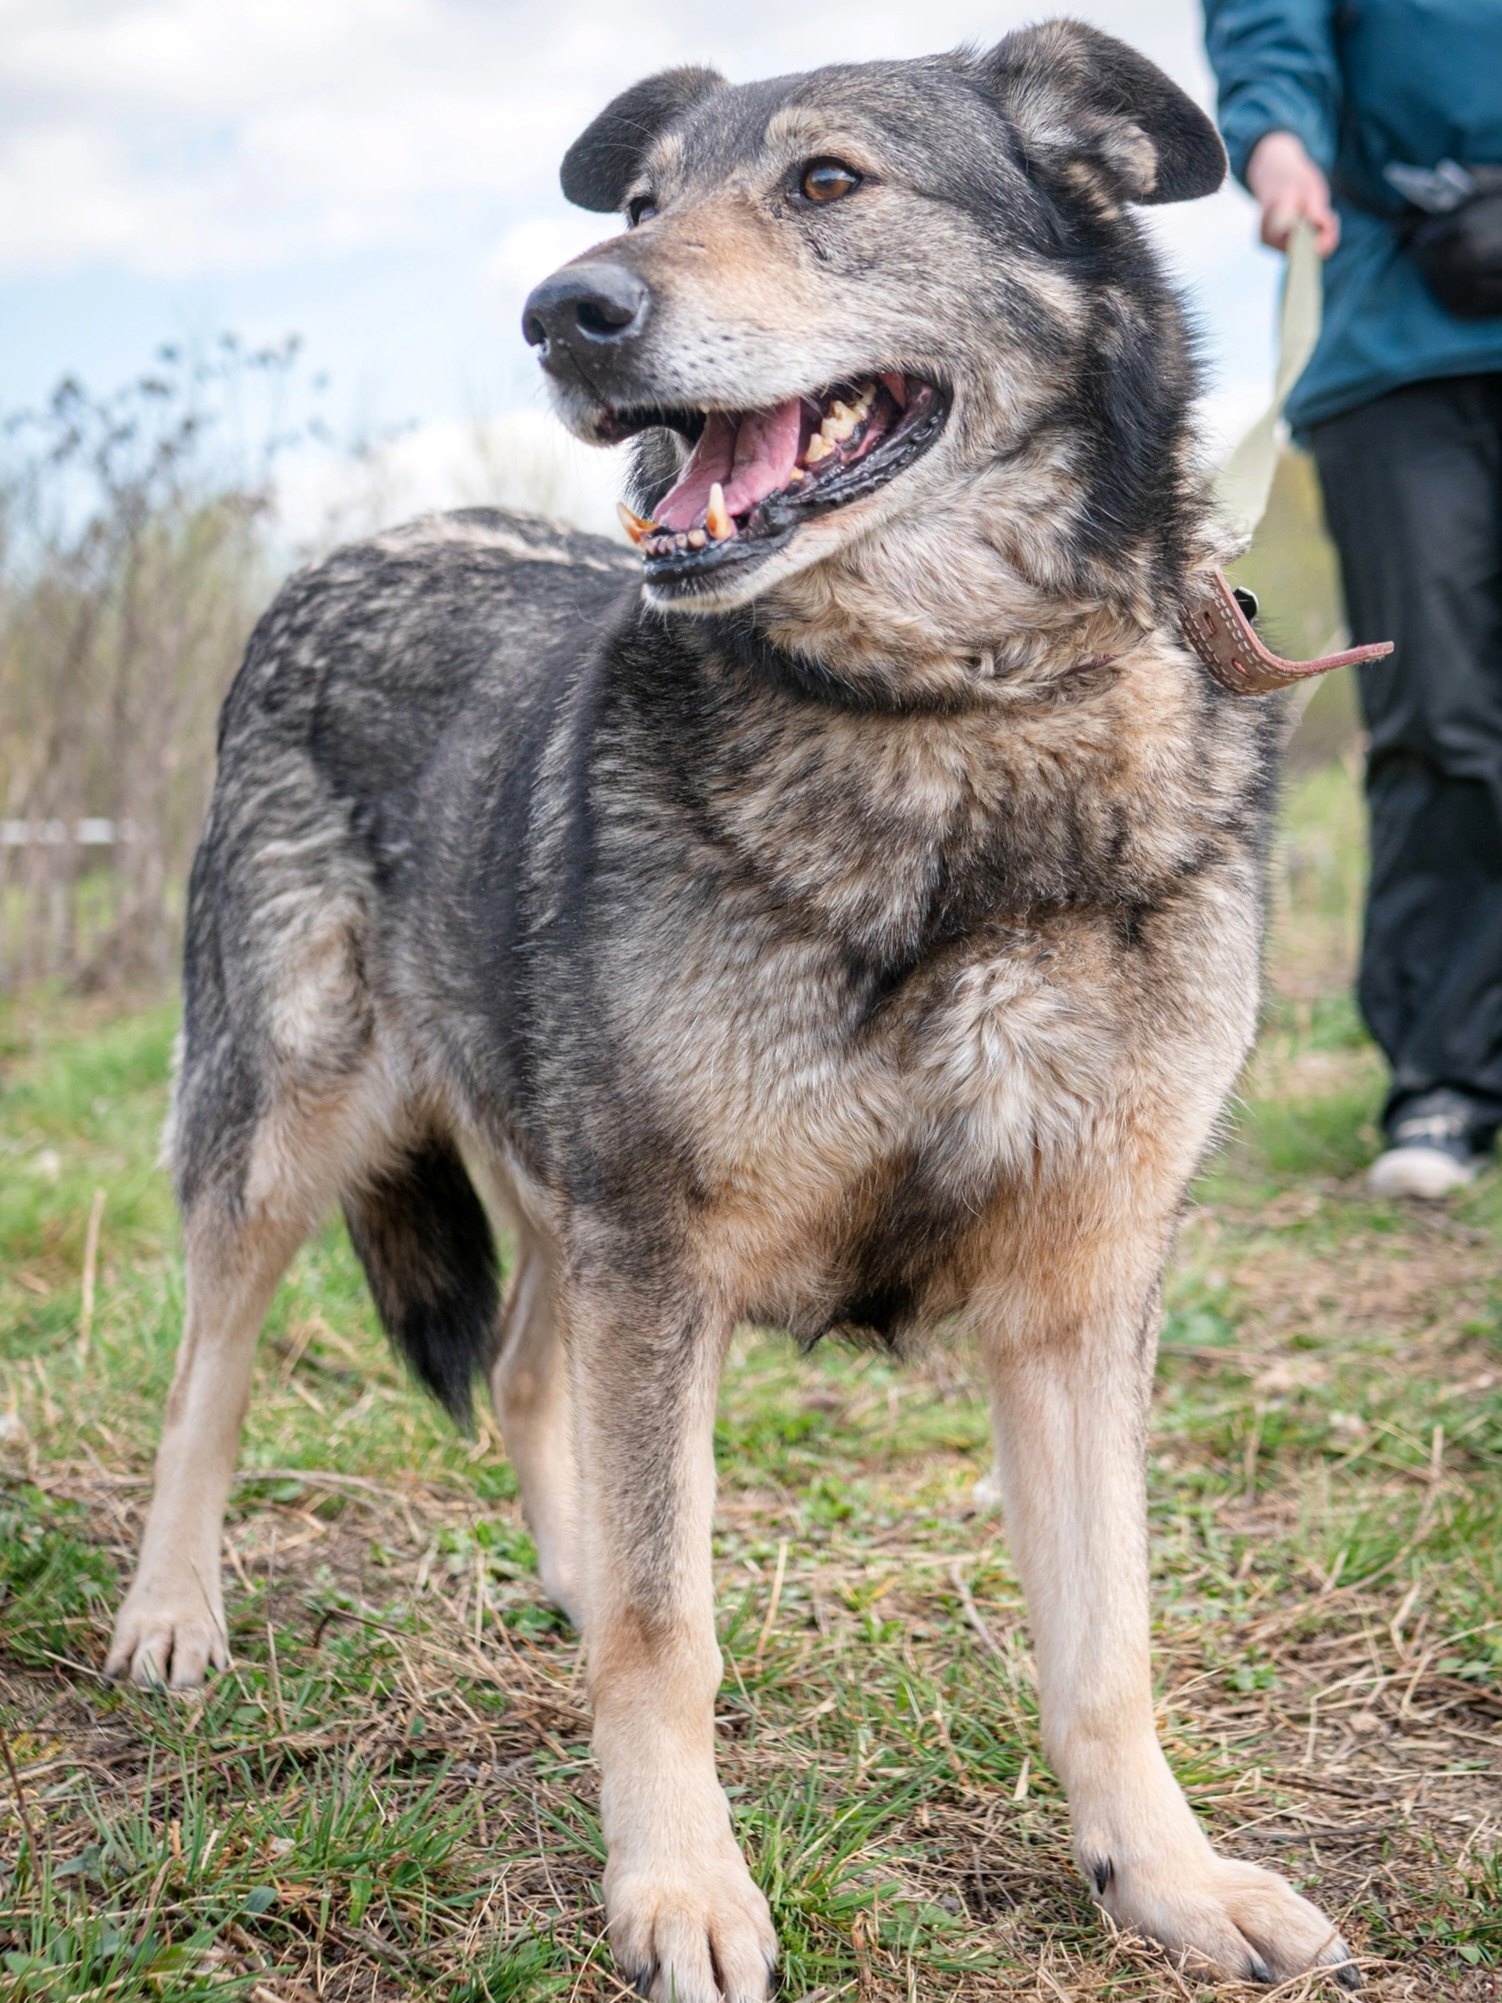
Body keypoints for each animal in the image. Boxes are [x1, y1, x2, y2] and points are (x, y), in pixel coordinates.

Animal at [111, 23, 1369, 1994]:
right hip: (295, 1117)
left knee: (530, 1372)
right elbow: (669, 1621)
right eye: (639, 200)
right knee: (210, 1363)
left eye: (827, 181)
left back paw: (553, 1570)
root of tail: (359, 546)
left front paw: (1164, 1875)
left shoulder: (1076, 1292)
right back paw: (173, 1611)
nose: (565, 311)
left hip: (560, 1181)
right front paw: (679, 1882)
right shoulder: (664, 1250)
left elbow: (1105, 1642)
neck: (946, 722)